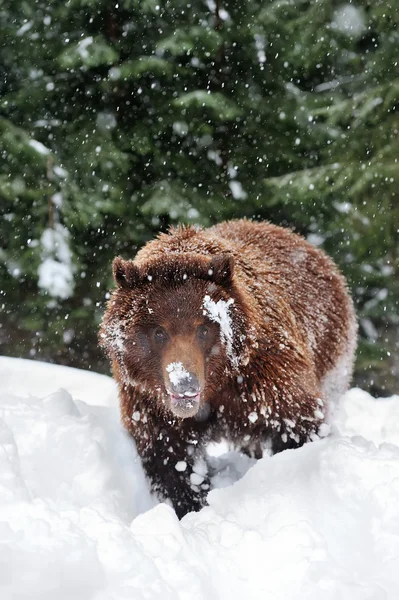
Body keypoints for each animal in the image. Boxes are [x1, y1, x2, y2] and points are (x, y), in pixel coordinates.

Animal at [98, 218, 358, 516]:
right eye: (159, 332)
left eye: (203, 328)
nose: (185, 384)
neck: (216, 386)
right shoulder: (148, 401)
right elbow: (172, 458)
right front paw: (191, 504)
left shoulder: (264, 375)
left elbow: (295, 420)